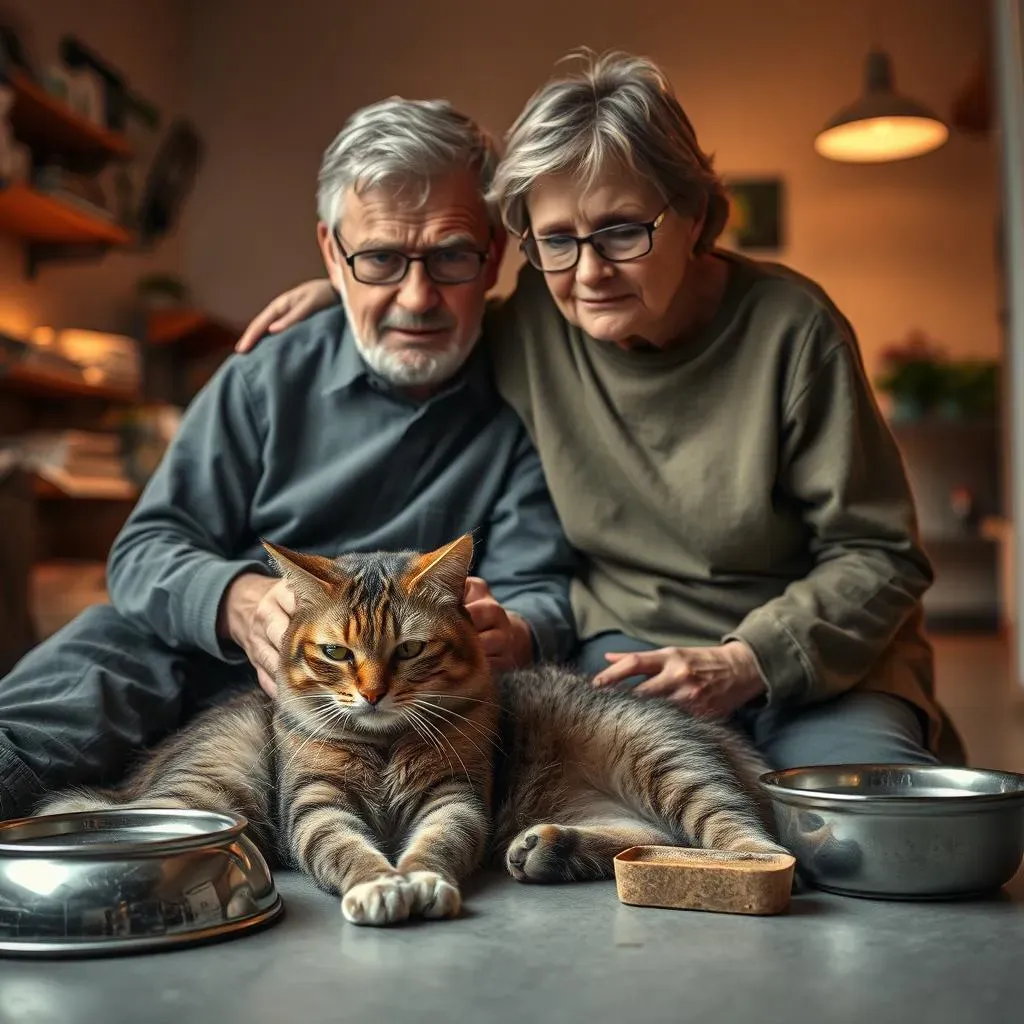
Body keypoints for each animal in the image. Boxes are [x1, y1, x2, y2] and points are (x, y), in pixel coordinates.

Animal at [39, 532, 786, 925]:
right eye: (336, 653)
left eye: (410, 651)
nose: (371, 692)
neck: (385, 740)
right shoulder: (316, 806)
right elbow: (351, 852)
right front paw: (381, 884)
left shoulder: (453, 797)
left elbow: (432, 847)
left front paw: (419, 880)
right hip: (215, 790)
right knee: (654, 839)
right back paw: (549, 850)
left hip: (660, 759)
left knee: (737, 833)